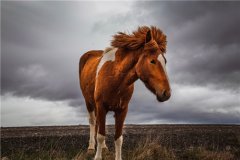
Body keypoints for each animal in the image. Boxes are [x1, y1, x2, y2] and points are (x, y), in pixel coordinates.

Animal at [79, 25, 171, 159]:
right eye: (152, 61)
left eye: (165, 61)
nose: (166, 93)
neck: (115, 77)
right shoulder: (101, 106)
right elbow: (101, 135)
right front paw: (97, 156)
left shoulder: (122, 110)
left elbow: (118, 138)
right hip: (89, 103)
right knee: (92, 122)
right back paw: (91, 148)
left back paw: (104, 148)